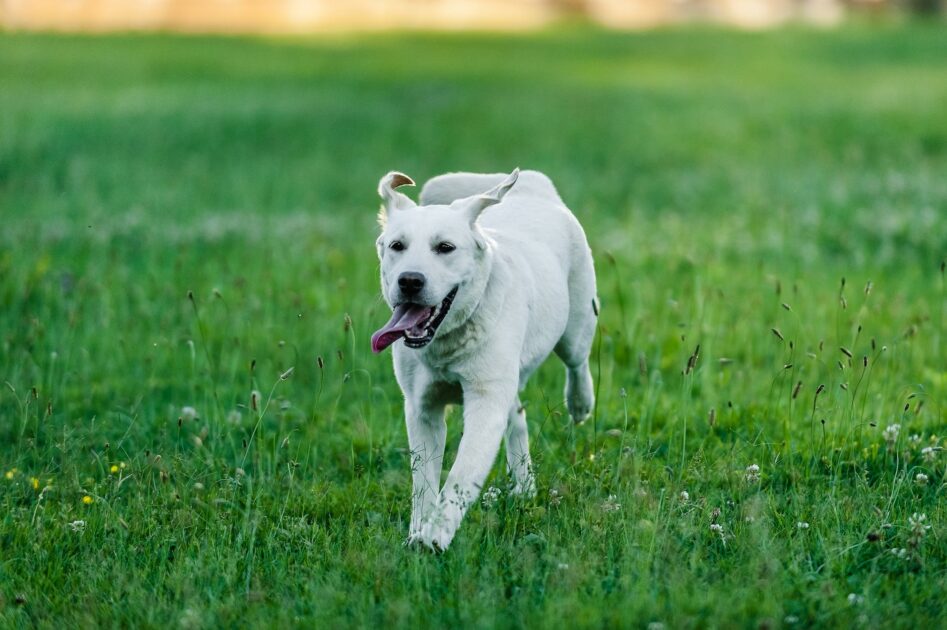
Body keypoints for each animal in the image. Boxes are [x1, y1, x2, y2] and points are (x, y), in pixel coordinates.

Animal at [374, 169, 596, 552]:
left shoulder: (485, 401)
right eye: (397, 246)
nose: (410, 280)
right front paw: (418, 533)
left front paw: (435, 537)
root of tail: (533, 186)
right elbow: (423, 480)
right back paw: (524, 485)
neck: (447, 341)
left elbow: (461, 474)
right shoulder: (422, 408)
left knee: (577, 362)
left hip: (577, 324)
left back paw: (580, 403)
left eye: (445, 247)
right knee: (517, 416)